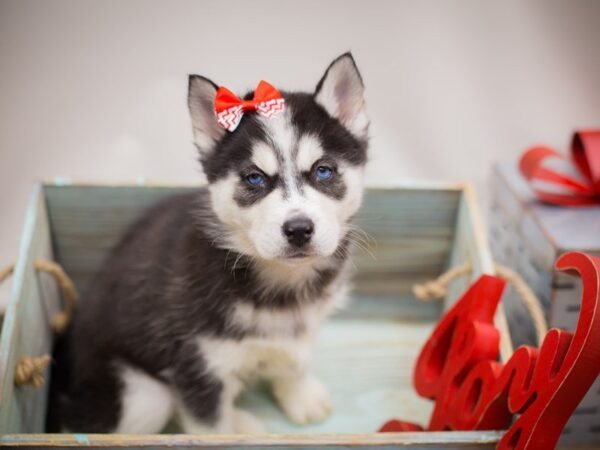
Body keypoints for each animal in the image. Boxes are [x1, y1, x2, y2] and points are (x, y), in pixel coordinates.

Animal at [58, 51, 368, 432]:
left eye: (323, 170)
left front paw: (299, 393)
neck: (279, 283)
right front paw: (232, 429)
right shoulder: (197, 365)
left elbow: (294, 358)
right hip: (142, 396)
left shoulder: (299, 328)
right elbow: (209, 426)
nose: (298, 229)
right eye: (254, 178)